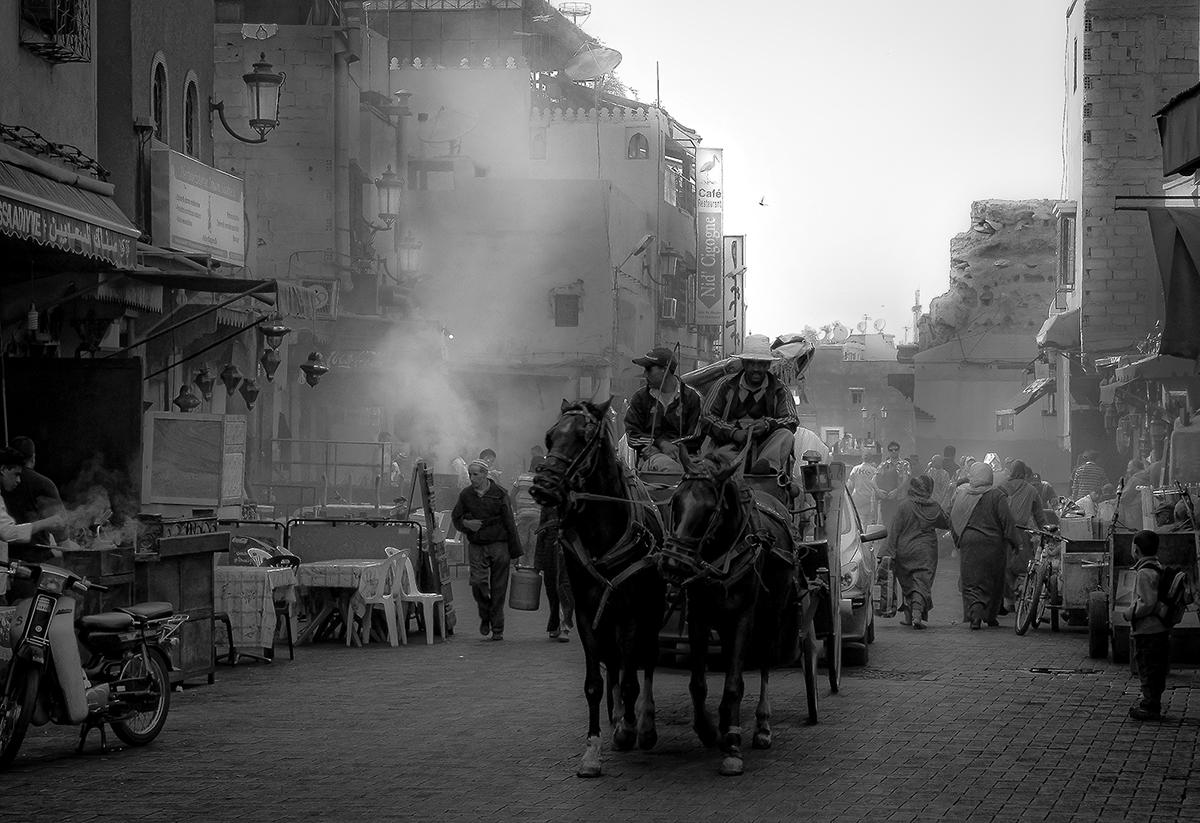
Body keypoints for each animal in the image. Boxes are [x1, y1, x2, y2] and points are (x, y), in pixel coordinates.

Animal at [532, 400, 672, 782]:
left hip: (651, 610)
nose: (543, 485)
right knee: (618, 662)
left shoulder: (635, 612)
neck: (603, 535)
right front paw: (593, 752)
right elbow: (595, 683)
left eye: (584, 437)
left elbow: (632, 677)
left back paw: (644, 724)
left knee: (647, 660)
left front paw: (631, 729)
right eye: (550, 436)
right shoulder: (586, 613)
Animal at [657, 451, 806, 782]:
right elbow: (698, 683)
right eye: (675, 502)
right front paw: (709, 730)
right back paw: (725, 724)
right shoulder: (699, 616)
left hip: (771, 613)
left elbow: (735, 684)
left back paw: (761, 726)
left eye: (710, 510)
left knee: (764, 661)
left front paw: (734, 747)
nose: (673, 562)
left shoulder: (743, 617)